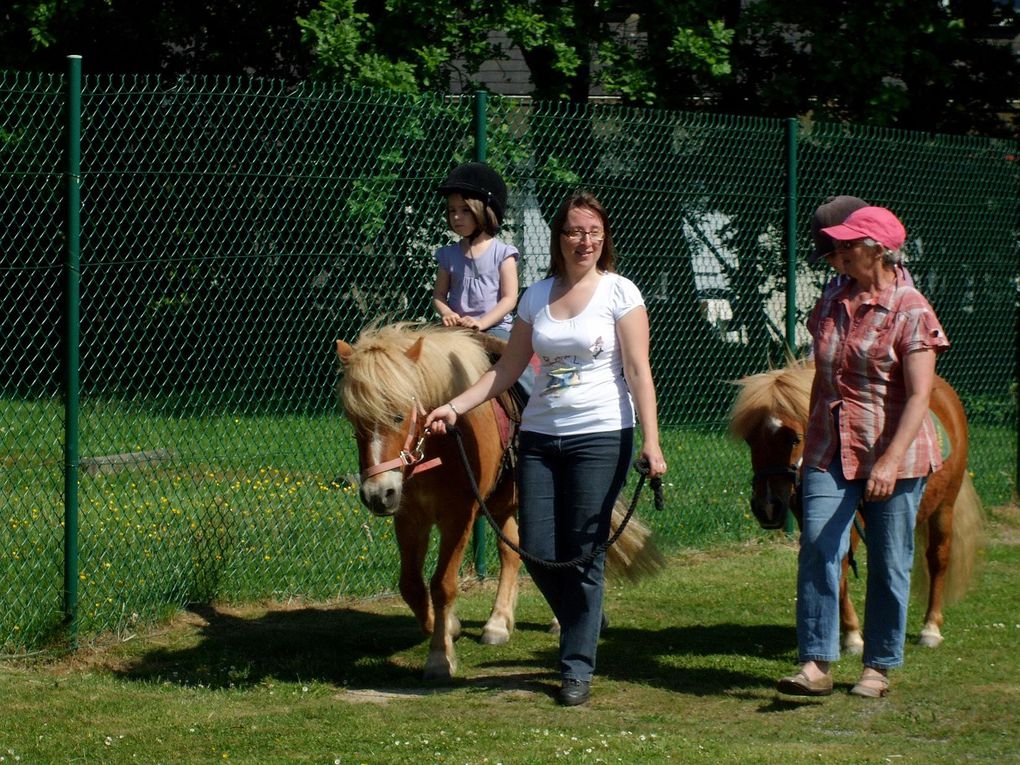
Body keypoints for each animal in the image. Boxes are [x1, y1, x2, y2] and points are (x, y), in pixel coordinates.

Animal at [334, 320, 660, 681]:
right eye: (353, 420)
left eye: (398, 415)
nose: (377, 494)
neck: (443, 443)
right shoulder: (409, 517)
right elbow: (411, 585)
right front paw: (449, 627)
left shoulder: (458, 516)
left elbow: (442, 584)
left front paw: (440, 657)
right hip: (504, 506)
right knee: (513, 552)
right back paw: (498, 623)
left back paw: (560, 621)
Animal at [730, 361, 983, 652]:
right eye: (750, 440)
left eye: (794, 439)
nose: (767, 506)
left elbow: (839, 571)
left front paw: (852, 635)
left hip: (944, 506)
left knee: (938, 559)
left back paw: (930, 627)